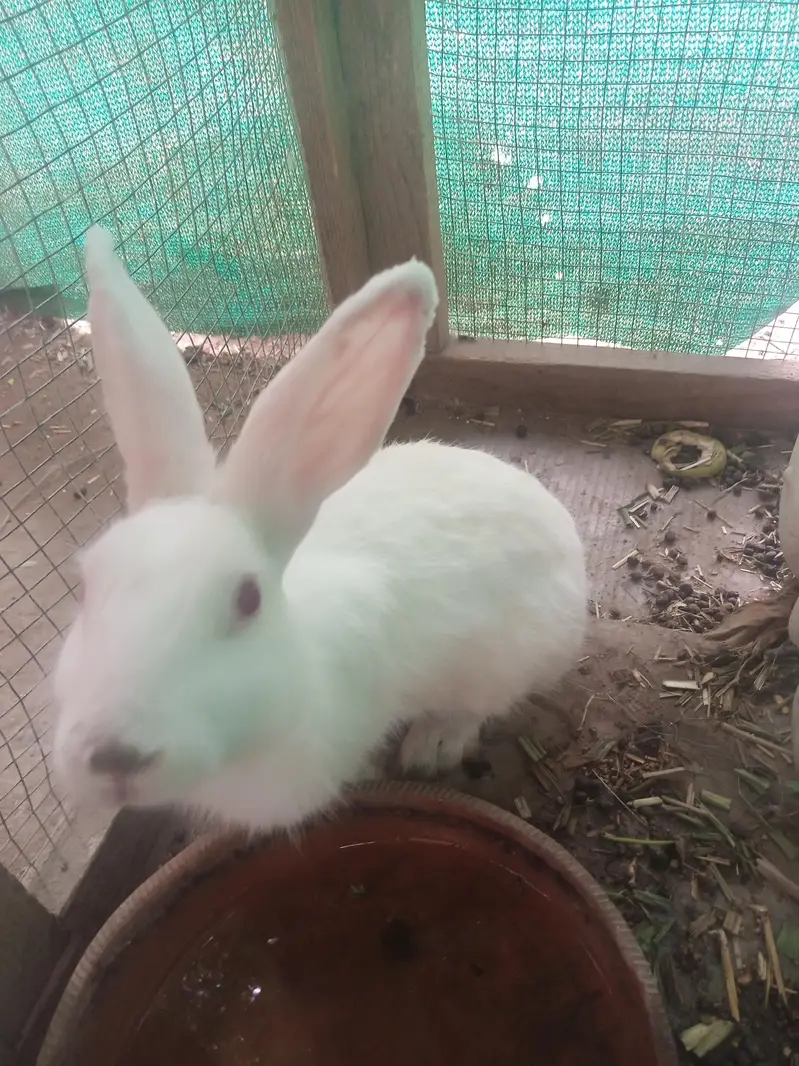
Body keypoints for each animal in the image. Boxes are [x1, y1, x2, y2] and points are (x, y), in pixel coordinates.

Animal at [52, 225, 588, 833]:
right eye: (86, 587)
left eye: (248, 599)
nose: (114, 757)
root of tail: (568, 539)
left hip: (507, 656)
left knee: (478, 705)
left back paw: (432, 744)